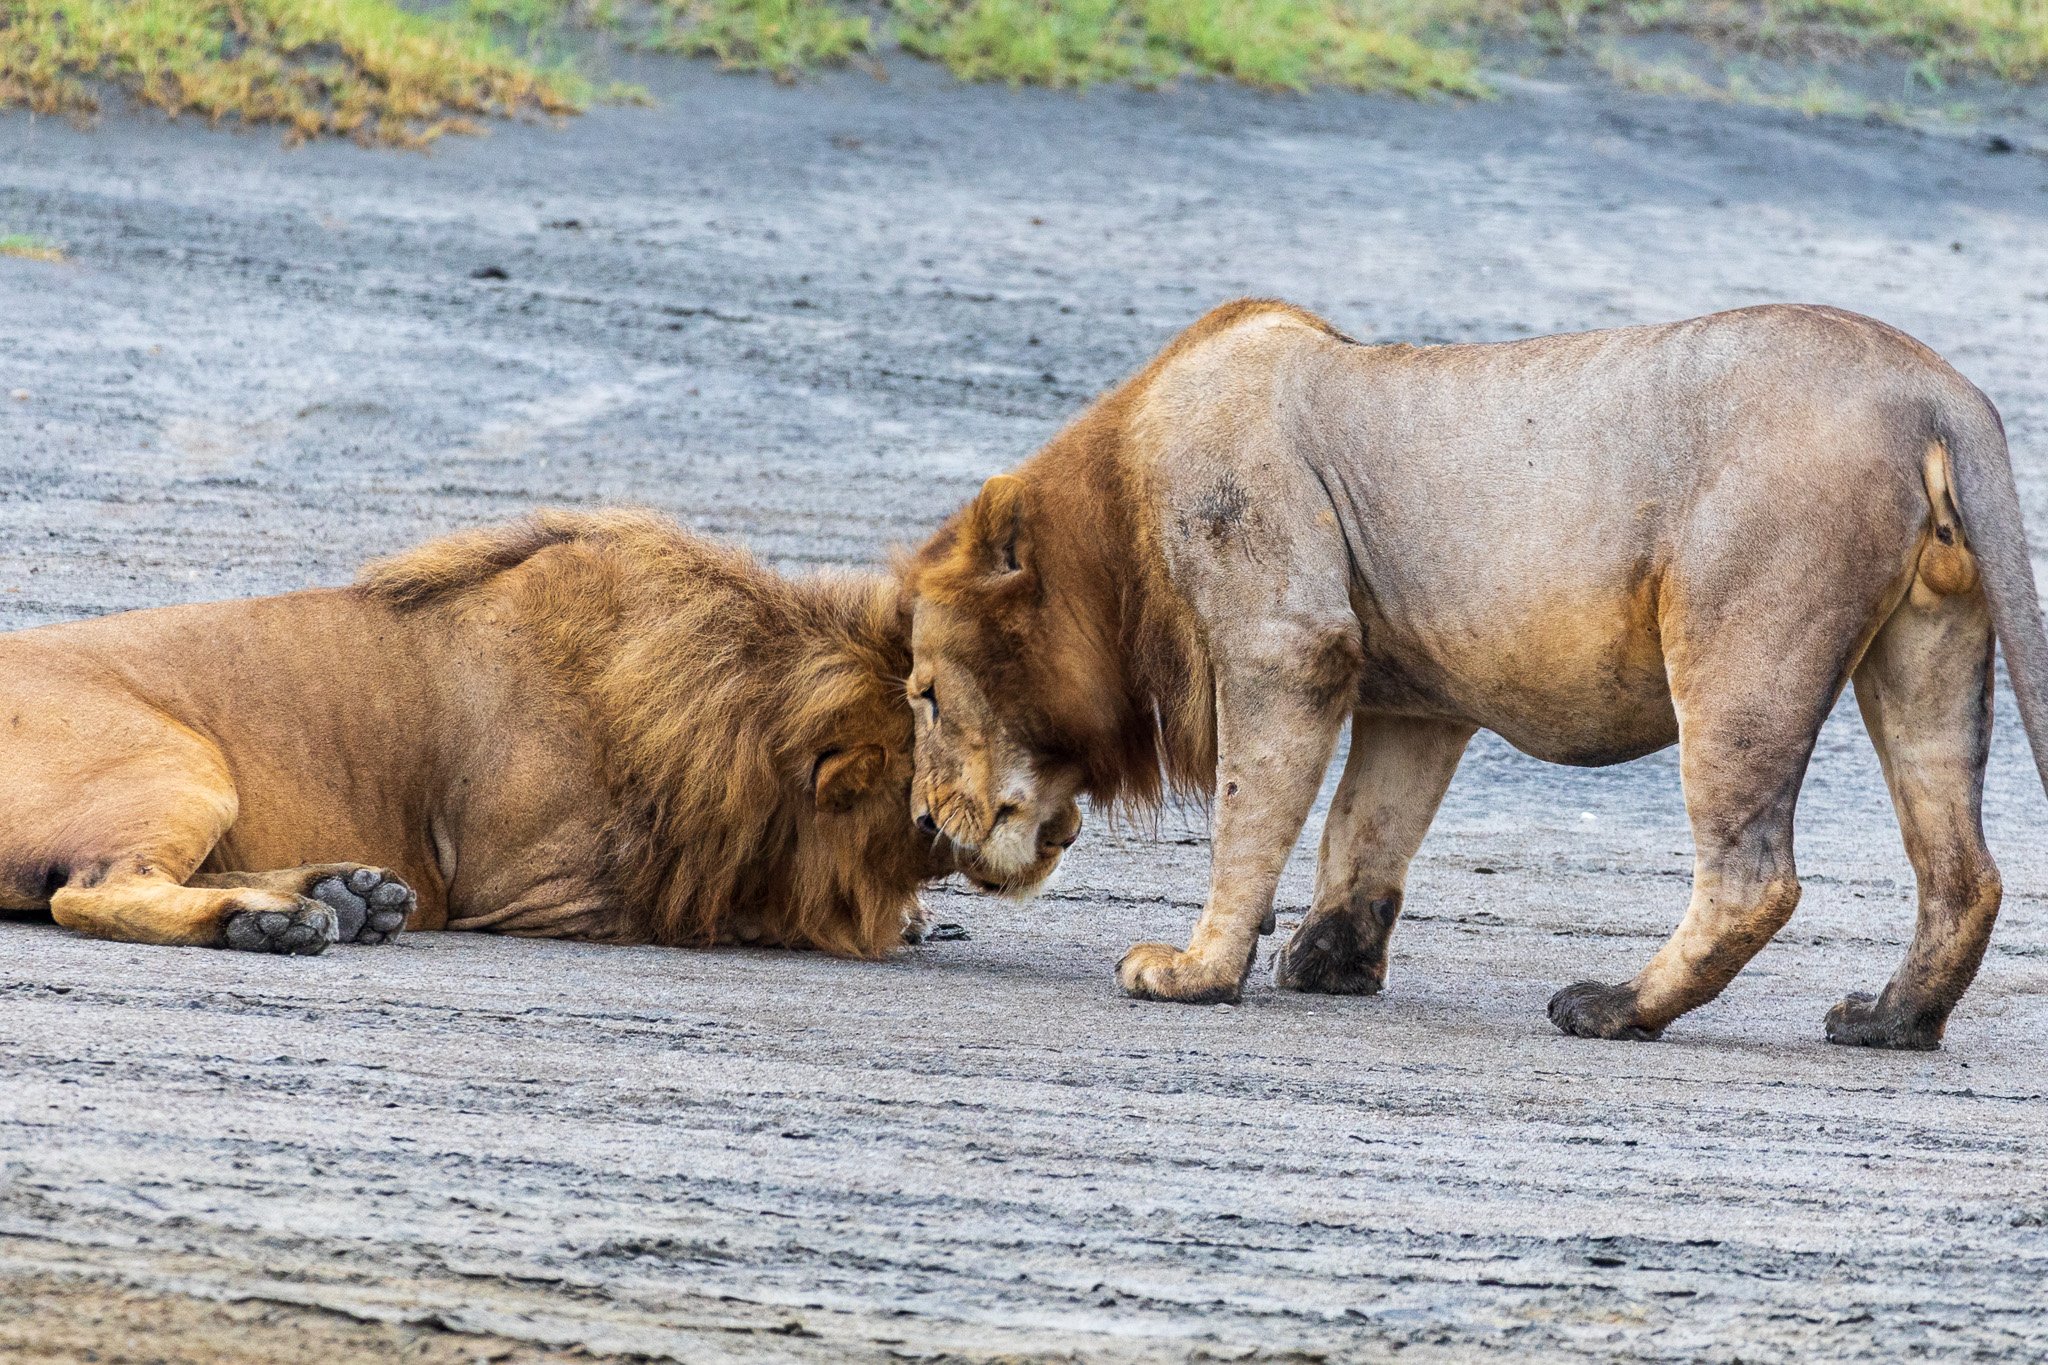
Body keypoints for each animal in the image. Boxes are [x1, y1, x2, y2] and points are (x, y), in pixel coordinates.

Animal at [0, 509, 1081, 961]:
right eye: (947, 725)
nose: (1069, 828)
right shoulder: (539, 892)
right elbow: (735, 910)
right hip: (183, 761)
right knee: (89, 894)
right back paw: (270, 924)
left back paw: (345, 896)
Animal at [905, 296, 2048, 1047]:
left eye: (921, 694)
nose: (918, 819)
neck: (1117, 513)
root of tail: (1932, 387)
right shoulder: (1414, 701)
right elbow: (1364, 828)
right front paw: (1323, 963)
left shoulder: (1287, 640)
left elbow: (1248, 816)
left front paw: (1194, 972)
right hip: (1928, 648)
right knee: (1963, 871)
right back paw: (1888, 1020)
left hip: (1739, 647)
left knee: (1752, 877)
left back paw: (1613, 1008)